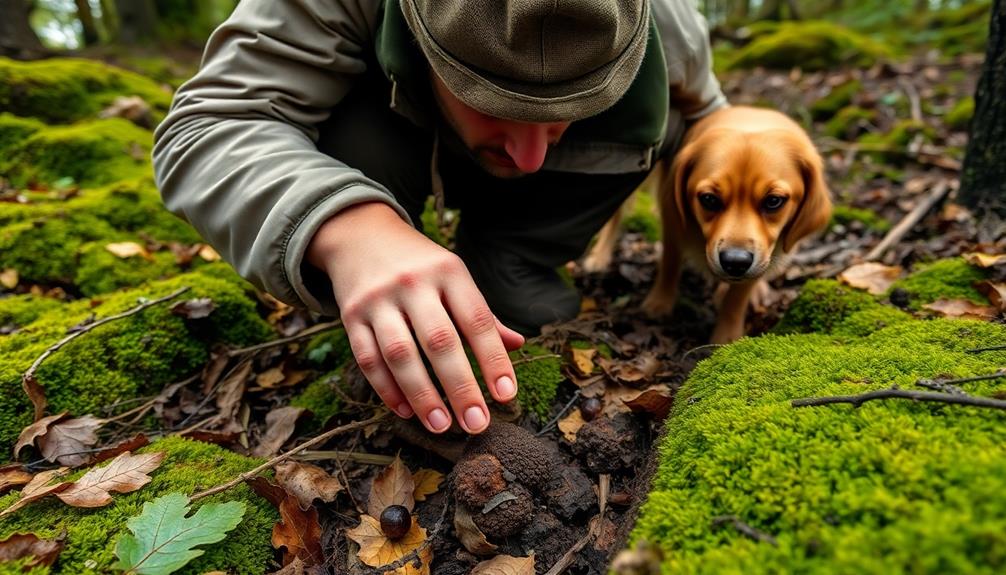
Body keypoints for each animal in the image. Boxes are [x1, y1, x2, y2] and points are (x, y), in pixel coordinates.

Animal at [587, 105, 828, 341]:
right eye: (709, 199)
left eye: (774, 201)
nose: (735, 262)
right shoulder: (673, 224)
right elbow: (670, 264)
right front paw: (659, 302)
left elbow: (735, 299)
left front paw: (726, 337)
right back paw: (599, 257)